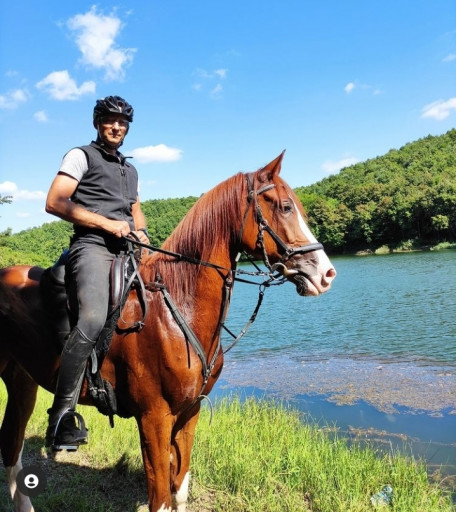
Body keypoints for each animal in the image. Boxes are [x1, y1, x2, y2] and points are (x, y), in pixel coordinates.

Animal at [0, 153, 334, 512]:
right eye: (285, 207)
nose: (327, 273)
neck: (176, 309)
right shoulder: (154, 419)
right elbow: (159, 497)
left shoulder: (189, 413)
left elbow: (180, 487)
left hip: (22, 381)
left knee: (12, 443)